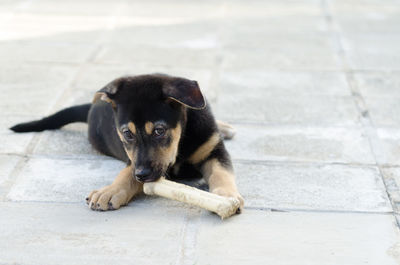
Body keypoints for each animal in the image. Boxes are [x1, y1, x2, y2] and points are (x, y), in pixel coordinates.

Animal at [10, 73, 244, 212]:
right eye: (127, 134)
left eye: (159, 131)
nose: (142, 174)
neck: (180, 143)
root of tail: (90, 108)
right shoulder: (135, 162)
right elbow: (126, 173)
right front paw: (111, 191)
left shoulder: (214, 151)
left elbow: (221, 174)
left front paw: (226, 196)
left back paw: (225, 127)